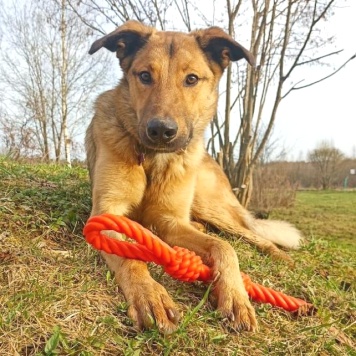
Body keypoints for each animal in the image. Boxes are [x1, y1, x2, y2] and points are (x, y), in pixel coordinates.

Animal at [87, 20, 304, 334]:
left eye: (191, 79)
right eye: (144, 76)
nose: (161, 131)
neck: (153, 160)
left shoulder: (169, 221)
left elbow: (224, 246)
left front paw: (235, 295)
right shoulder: (107, 214)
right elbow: (129, 254)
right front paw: (149, 294)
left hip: (209, 203)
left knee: (252, 235)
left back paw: (280, 255)